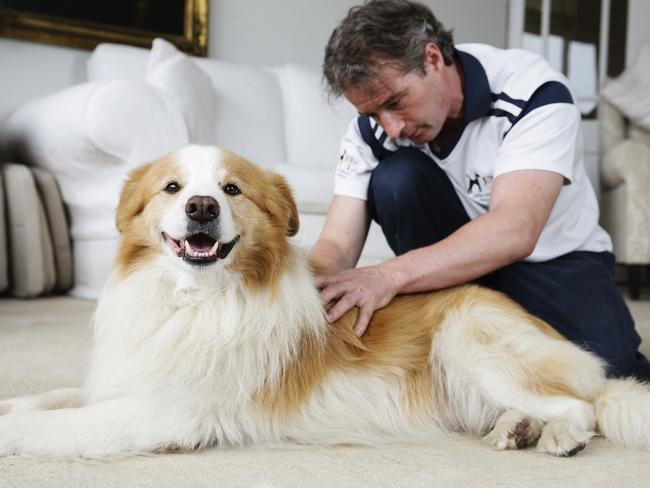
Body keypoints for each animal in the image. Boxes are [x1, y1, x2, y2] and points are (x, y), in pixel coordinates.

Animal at [1, 145, 648, 458]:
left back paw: (558, 436)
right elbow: (47, 400)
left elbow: (49, 425)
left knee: (584, 407)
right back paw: (518, 429)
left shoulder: (164, 411)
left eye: (231, 189)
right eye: (173, 188)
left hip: (469, 339)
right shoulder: (120, 381)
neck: (193, 300)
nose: (202, 207)